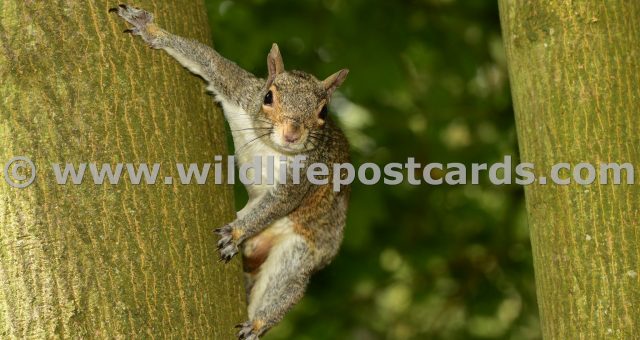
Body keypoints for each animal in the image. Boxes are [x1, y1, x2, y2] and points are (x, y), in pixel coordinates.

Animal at [109, 5, 350, 340]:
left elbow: (278, 203)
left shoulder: (303, 175)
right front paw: (150, 29)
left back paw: (257, 323)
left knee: (288, 285)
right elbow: (207, 60)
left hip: (301, 250)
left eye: (323, 112)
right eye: (267, 97)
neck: (271, 146)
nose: (292, 134)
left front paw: (235, 233)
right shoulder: (239, 90)